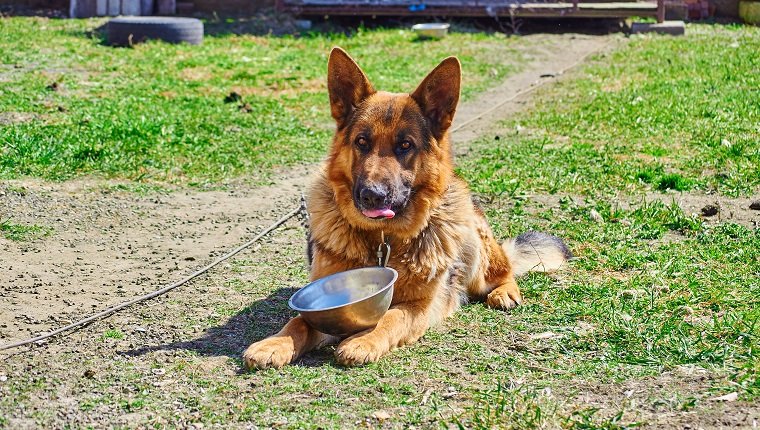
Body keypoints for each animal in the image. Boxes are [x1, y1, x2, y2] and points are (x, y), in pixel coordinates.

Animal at [243, 47, 568, 370]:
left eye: (405, 145)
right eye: (362, 141)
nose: (372, 196)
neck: (383, 239)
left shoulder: (418, 306)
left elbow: (390, 317)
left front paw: (363, 340)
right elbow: (299, 321)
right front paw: (274, 343)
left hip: (474, 244)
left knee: (504, 270)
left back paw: (505, 291)